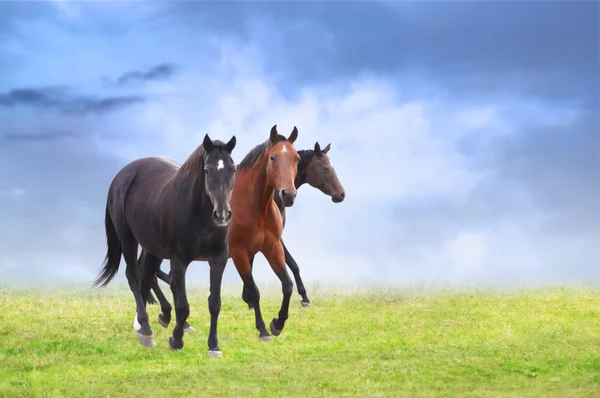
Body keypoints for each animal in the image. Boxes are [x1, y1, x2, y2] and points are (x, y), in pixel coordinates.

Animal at [91, 134, 237, 358]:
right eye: (207, 170)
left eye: (233, 169)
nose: (222, 215)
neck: (200, 216)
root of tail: (120, 176)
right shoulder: (178, 260)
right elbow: (183, 304)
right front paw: (176, 340)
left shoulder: (218, 259)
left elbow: (214, 303)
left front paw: (213, 345)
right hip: (128, 239)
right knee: (134, 277)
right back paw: (145, 329)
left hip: (153, 249)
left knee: (146, 277)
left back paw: (148, 321)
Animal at [139, 126, 300, 340]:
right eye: (273, 157)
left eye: (296, 158)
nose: (288, 195)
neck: (256, 207)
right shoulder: (239, 253)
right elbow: (254, 291)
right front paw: (263, 329)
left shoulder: (272, 248)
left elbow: (287, 285)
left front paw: (278, 323)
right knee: (152, 275)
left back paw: (180, 323)